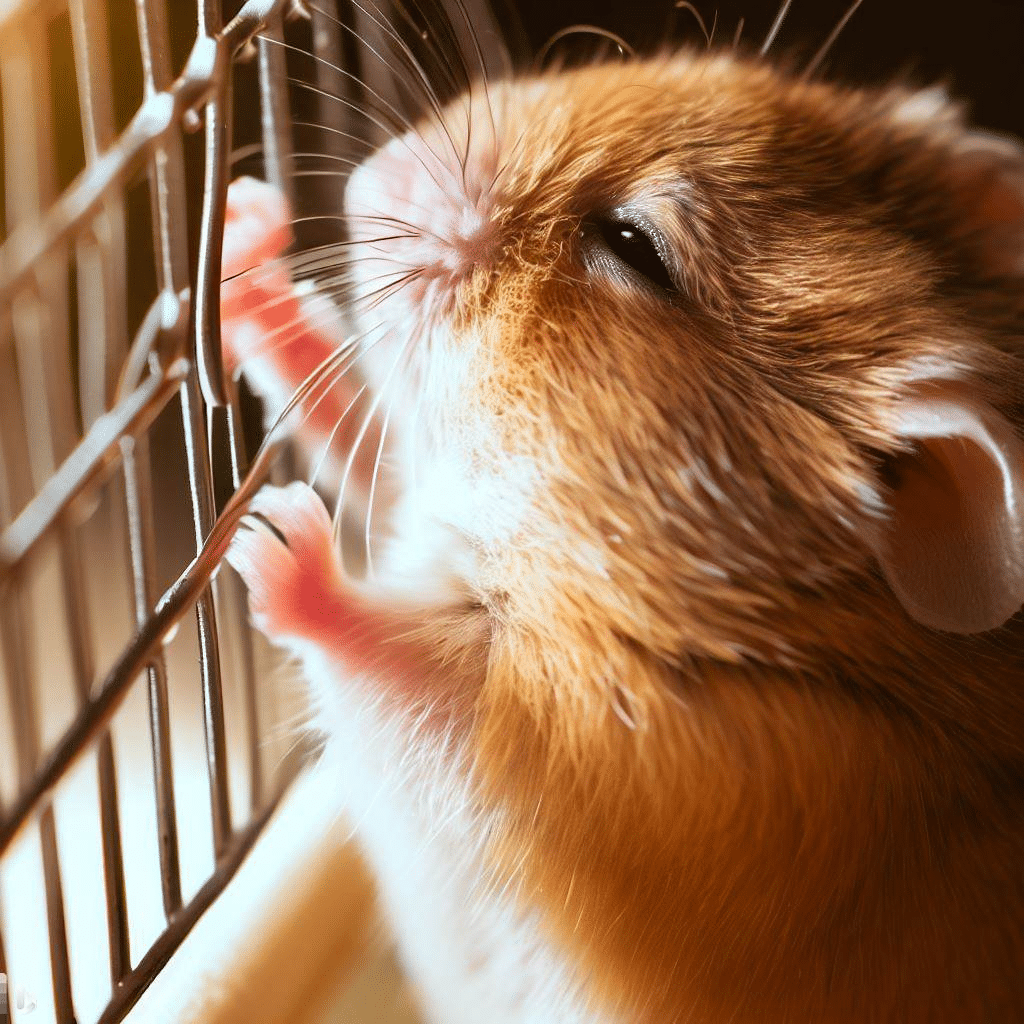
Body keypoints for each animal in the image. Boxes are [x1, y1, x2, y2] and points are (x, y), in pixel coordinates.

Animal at [224, 39, 1024, 1024]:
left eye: (634, 247)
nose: (379, 170)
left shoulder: (584, 762)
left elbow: (400, 664)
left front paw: (271, 538)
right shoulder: (423, 506)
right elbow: (373, 439)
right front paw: (244, 236)